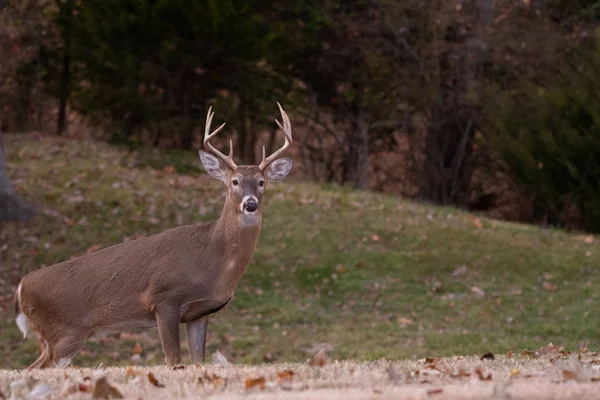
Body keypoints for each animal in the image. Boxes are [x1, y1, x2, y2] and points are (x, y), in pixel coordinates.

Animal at [12, 102, 294, 368]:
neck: (215, 259)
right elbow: (173, 360)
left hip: (53, 337)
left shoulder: (200, 312)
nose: (250, 204)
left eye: (261, 182)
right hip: (64, 332)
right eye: (234, 182)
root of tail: (21, 287)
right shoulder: (163, 298)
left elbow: (198, 361)